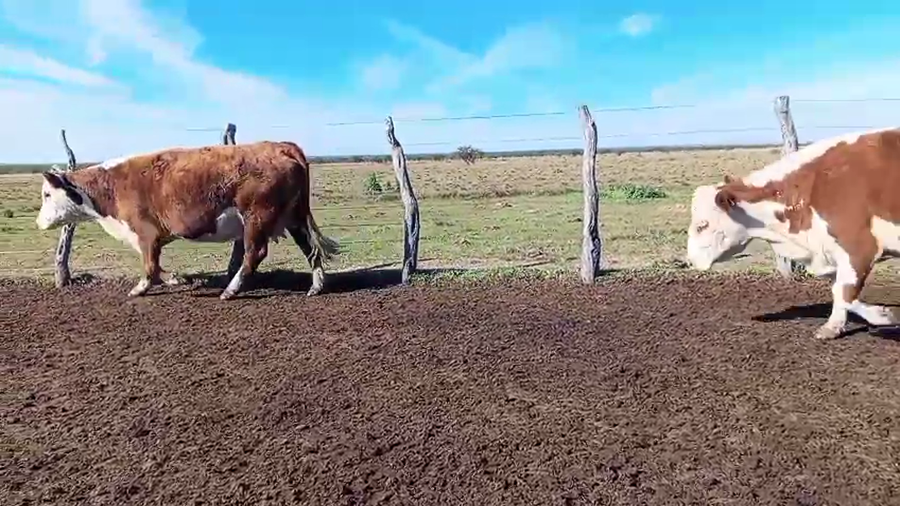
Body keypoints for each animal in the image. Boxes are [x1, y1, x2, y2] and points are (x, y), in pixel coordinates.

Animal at [35, 140, 340, 300]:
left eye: (47, 194)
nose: (39, 223)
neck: (111, 186)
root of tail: (280, 146)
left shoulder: (146, 233)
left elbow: (150, 265)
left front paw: (141, 288)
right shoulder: (153, 237)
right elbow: (156, 265)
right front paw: (175, 279)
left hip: (257, 217)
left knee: (255, 253)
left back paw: (230, 290)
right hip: (294, 218)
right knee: (310, 250)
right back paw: (316, 286)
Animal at [685, 126, 900, 340]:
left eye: (702, 225)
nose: (690, 260)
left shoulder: (859, 249)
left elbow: (844, 291)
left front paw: (881, 317)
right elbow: (838, 291)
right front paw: (838, 325)